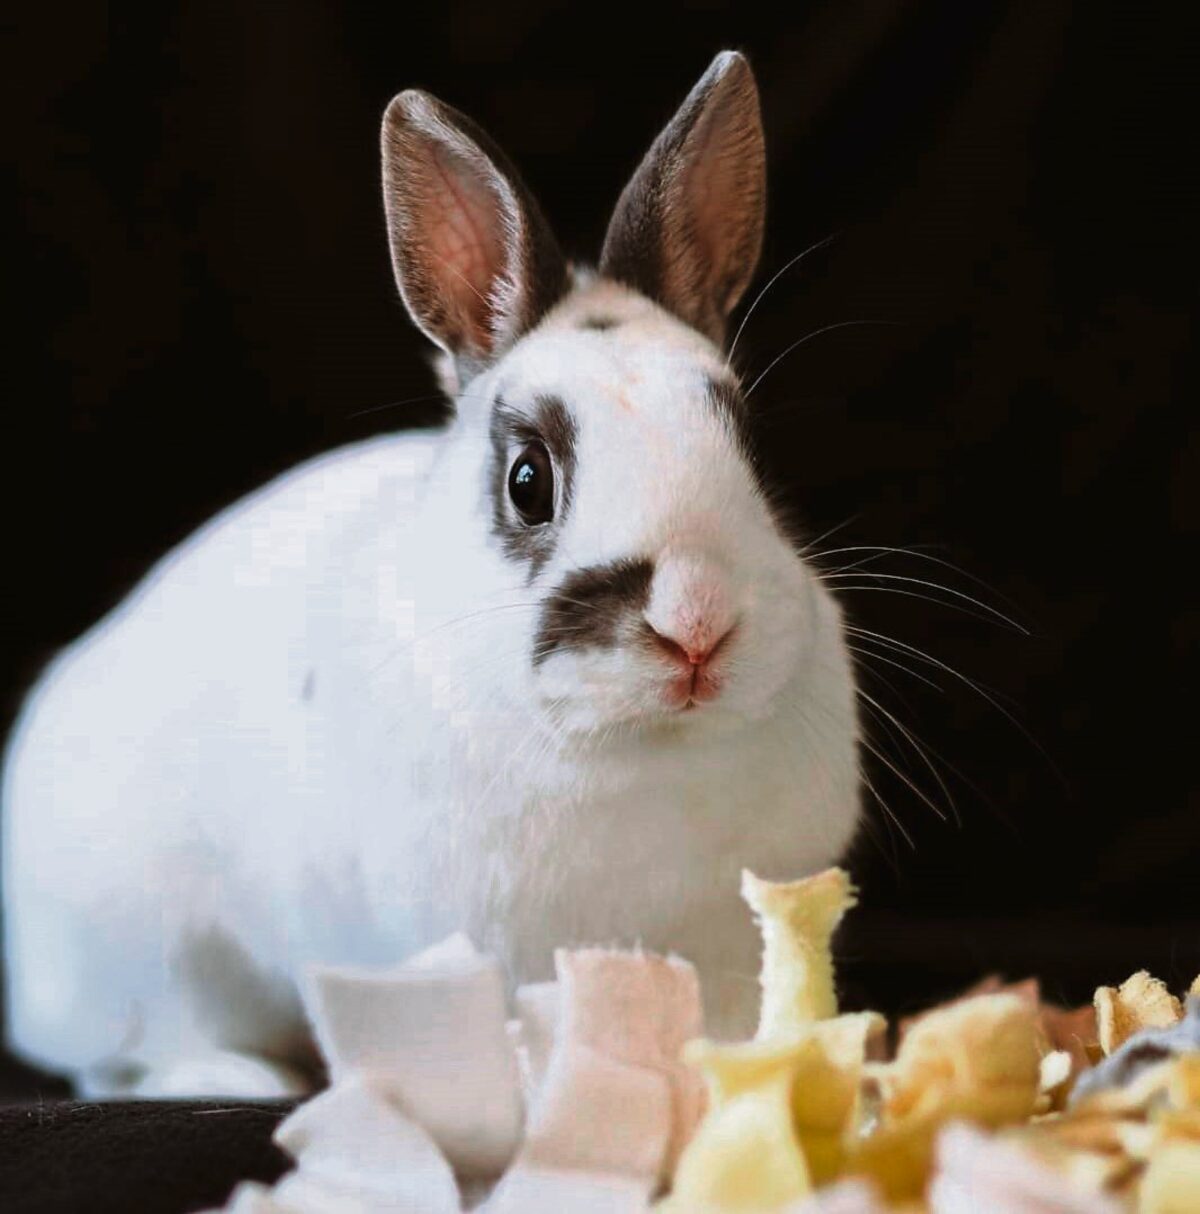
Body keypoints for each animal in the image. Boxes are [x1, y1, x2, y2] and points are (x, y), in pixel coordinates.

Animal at [2, 50, 861, 1099]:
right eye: (528, 481)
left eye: (752, 451)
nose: (695, 623)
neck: (644, 751)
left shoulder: (726, 953)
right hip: (152, 957)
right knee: (125, 1058)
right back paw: (236, 1078)